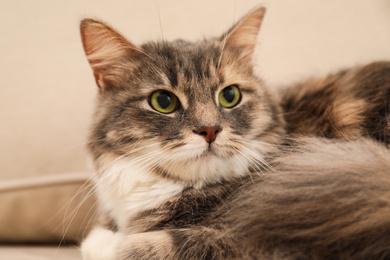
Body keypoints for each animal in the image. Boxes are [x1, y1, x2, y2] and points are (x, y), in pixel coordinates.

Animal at [78, 6, 390, 260]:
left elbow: (139, 247)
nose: (210, 129)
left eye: (230, 95)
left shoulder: (260, 233)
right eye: (163, 101)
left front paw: (112, 244)